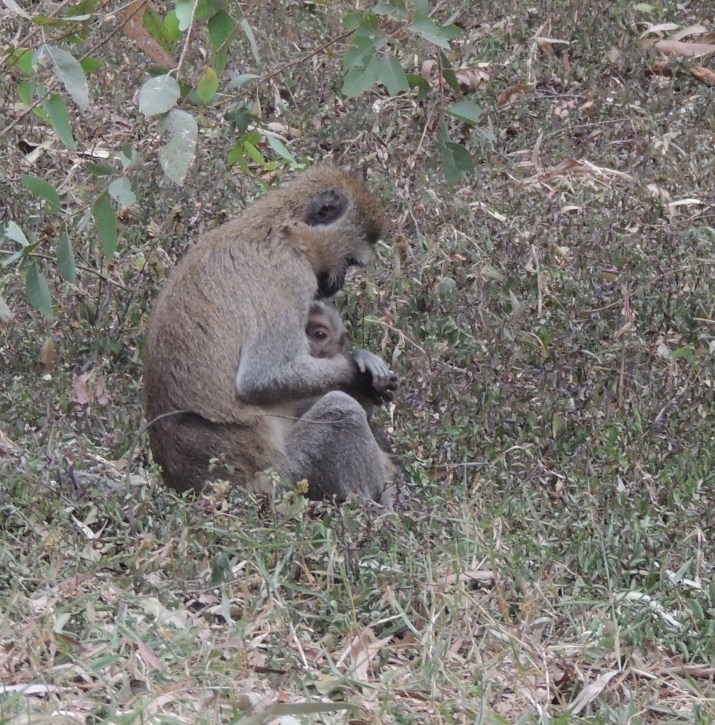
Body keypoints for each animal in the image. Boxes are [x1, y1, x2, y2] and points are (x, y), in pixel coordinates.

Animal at [143, 165, 396, 504]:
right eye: (351, 261)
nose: (339, 283)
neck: (282, 231)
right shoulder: (289, 278)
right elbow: (260, 379)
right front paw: (358, 375)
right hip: (286, 479)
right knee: (340, 410)